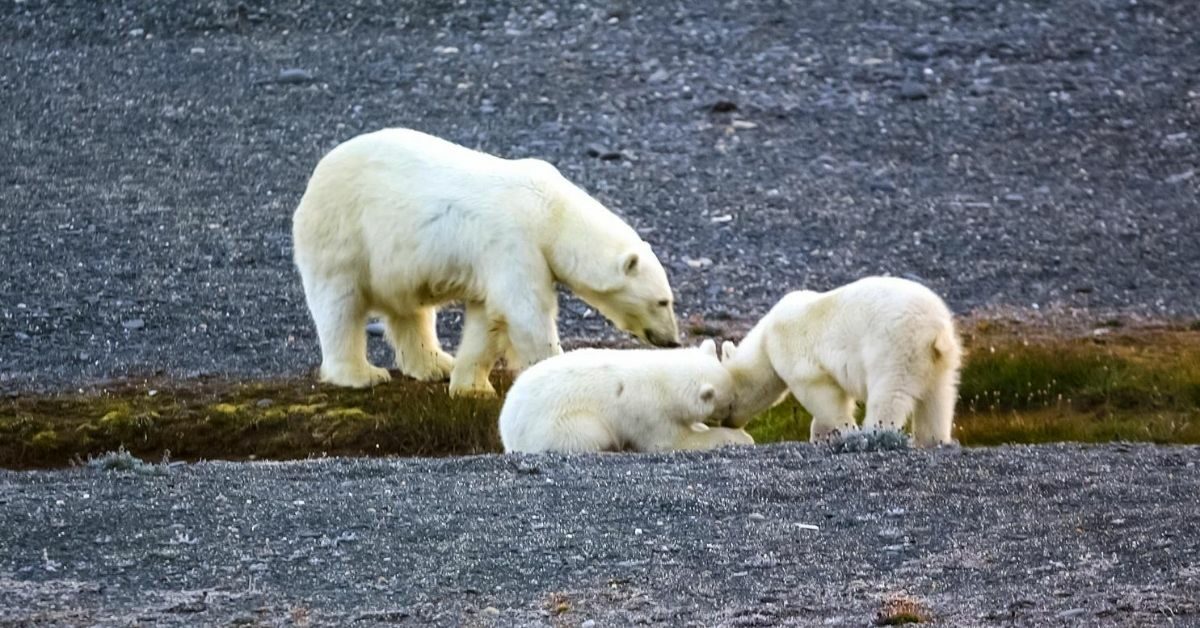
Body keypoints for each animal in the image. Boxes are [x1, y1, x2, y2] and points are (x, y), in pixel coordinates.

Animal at [291, 127, 681, 396]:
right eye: (662, 301)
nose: (674, 341)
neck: (550, 213)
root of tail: (316, 176)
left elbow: (489, 319)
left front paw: (471, 386)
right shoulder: (514, 243)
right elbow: (526, 314)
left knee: (410, 311)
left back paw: (435, 363)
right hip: (345, 234)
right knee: (340, 305)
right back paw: (361, 375)